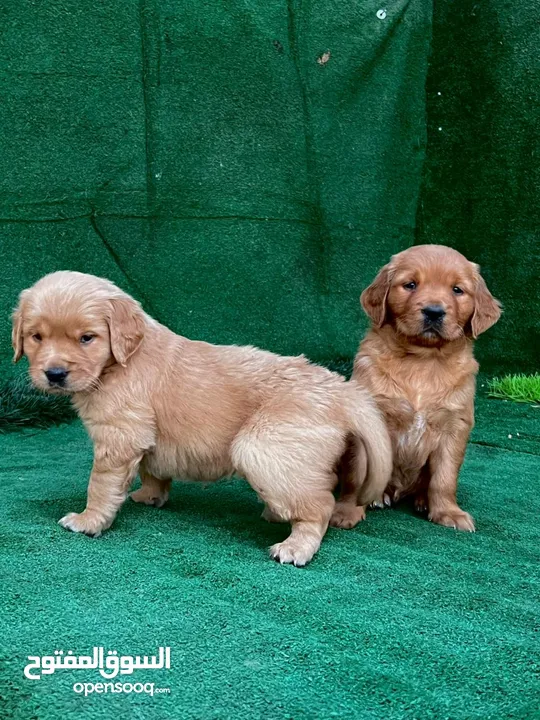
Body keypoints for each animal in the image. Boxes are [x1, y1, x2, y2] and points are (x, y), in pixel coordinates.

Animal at [12, 270, 392, 564]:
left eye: (87, 338)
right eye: (36, 337)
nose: (54, 374)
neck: (121, 362)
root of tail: (340, 389)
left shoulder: (119, 436)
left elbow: (100, 484)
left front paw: (89, 520)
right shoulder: (144, 437)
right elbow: (151, 469)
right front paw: (150, 496)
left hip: (264, 447)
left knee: (320, 503)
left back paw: (295, 546)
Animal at [340, 245, 500, 532]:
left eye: (457, 290)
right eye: (410, 285)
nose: (434, 311)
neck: (423, 360)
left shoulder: (454, 426)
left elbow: (445, 478)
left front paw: (448, 512)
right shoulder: (368, 419)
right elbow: (357, 473)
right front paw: (346, 510)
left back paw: (424, 500)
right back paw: (378, 497)